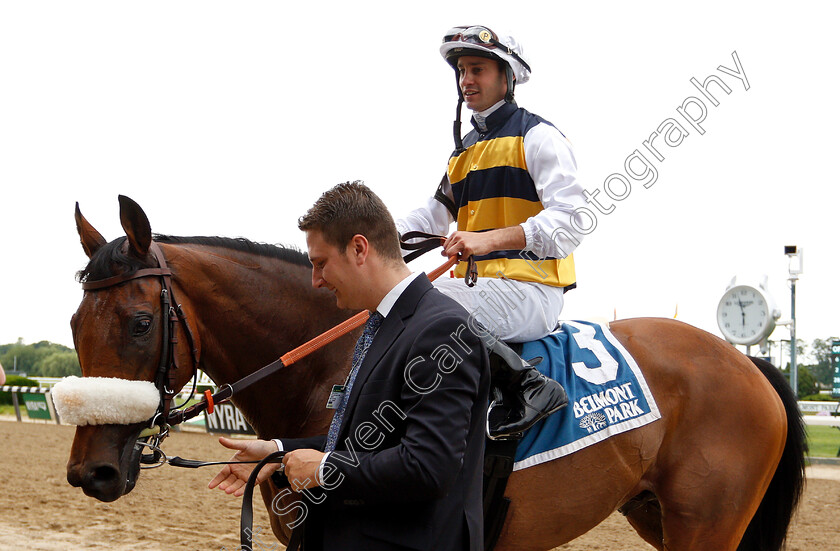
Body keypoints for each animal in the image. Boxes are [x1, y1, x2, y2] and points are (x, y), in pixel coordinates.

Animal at [67, 196, 808, 548]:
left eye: (140, 322)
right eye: (75, 322)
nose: (90, 471)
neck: (329, 361)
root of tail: (747, 362)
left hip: (706, 525)